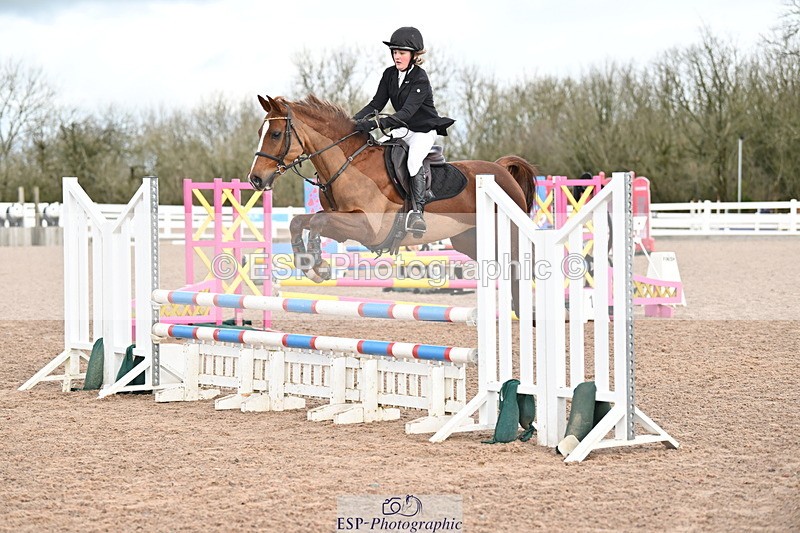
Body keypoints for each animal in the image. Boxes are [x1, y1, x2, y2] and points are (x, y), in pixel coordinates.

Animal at [247, 94, 539, 311]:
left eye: (275, 134)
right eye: (260, 131)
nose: (255, 179)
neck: (349, 163)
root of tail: (501, 169)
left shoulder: (368, 228)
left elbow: (317, 220)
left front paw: (318, 264)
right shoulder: (341, 223)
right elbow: (299, 221)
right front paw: (308, 263)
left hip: (507, 236)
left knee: (519, 270)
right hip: (469, 239)